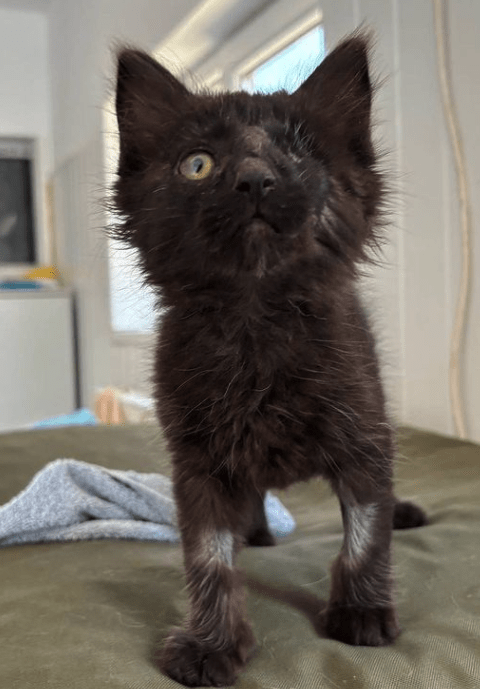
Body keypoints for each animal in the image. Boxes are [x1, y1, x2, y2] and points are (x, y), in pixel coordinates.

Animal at [113, 33, 428, 688]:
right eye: (198, 164)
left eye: (300, 157)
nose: (255, 179)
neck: (256, 324)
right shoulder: (197, 459)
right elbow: (209, 558)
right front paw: (210, 644)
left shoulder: (364, 433)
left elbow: (366, 535)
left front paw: (362, 612)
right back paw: (254, 529)